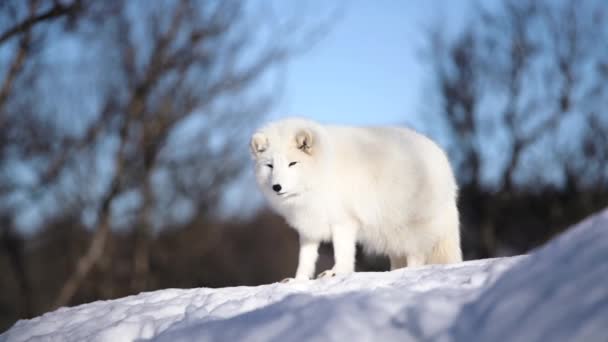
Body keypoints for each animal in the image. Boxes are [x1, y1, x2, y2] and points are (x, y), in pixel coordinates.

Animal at [249, 117, 464, 280]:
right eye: (270, 165)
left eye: (292, 163)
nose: (277, 187)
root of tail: (441, 156)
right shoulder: (309, 227)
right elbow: (305, 259)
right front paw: (298, 280)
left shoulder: (344, 221)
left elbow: (342, 253)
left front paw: (336, 273)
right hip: (391, 233)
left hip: (410, 227)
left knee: (417, 254)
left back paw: (408, 272)